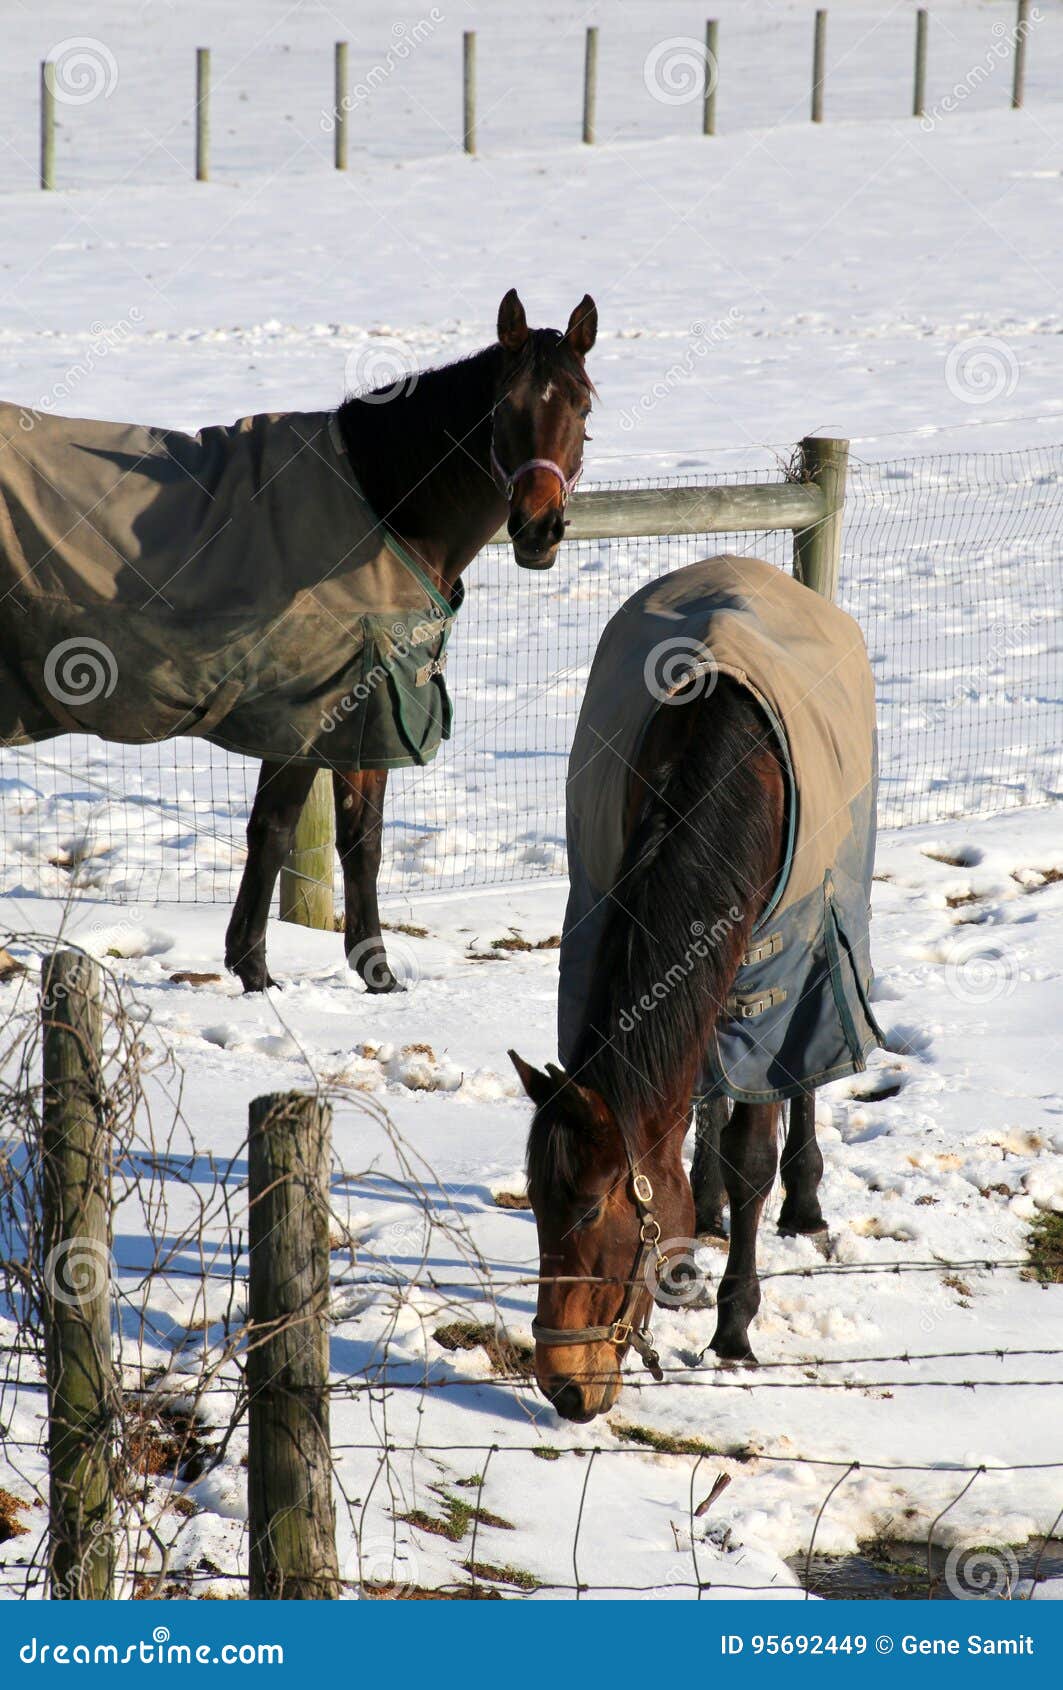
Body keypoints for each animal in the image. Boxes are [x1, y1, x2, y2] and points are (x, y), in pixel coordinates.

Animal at [224, 289, 598, 993]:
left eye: (583, 405)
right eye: (502, 406)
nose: (538, 530)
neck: (378, 511)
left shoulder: (371, 710)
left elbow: (362, 839)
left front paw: (377, 974)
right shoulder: (311, 715)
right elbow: (275, 829)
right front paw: (253, 972)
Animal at [510, 555, 879, 1421]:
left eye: (586, 1207)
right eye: (534, 1205)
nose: (564, 1386)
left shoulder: (776, 978)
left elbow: (754, 1152)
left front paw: (734, 1330)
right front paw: (686, 1246)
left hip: (817, 946)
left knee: (802, 1077)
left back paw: (801, 1202)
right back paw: (705, 1208)